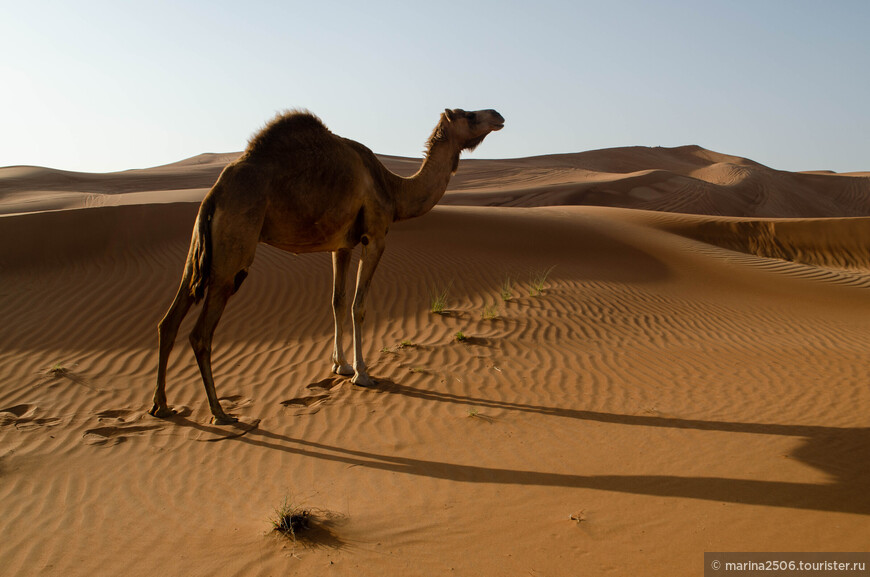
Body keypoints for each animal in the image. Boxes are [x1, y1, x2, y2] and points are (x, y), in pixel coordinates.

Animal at [149, 109, 504, 424]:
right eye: (469, 115)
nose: (498, 115)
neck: (393, 189)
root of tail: (214, 194)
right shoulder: (375, 236)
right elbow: (359, 305)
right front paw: (362, 374)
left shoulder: (342, 245)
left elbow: (337, 301)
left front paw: (340, 365)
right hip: (232, 255)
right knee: (200, 334)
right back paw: (219, 412)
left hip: (201, 255)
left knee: (169, 321)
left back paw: (162, 406)